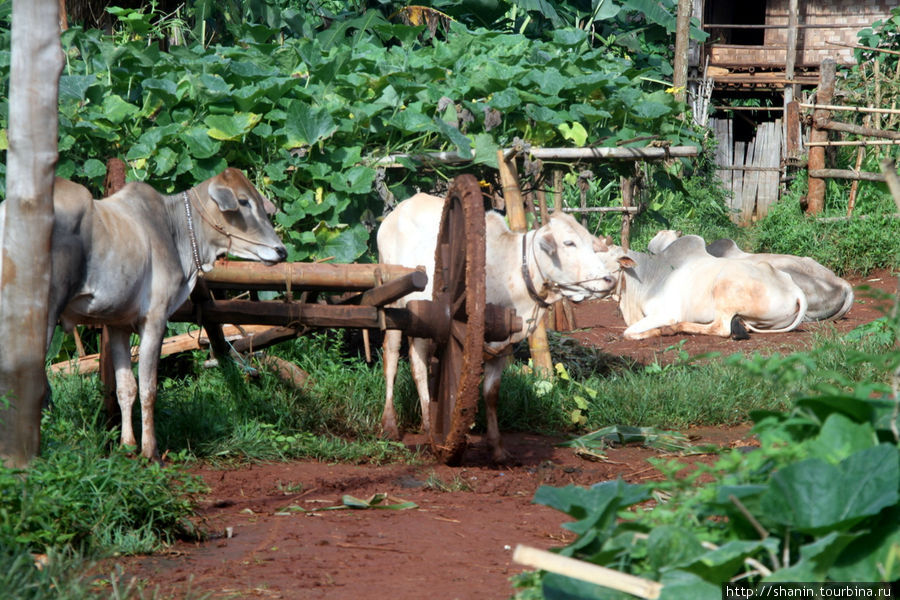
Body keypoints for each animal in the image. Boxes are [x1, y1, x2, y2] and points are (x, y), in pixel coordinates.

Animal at [378, 195, 620, 462]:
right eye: (569, 243)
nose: (610, 280)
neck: (513, 270)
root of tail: (399, 210)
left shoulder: (502, 347)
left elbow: (491, 394)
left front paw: (496, 448)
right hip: (394, 304)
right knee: (396, 359)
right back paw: (395, 424)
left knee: (420, 363)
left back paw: (428, 422)